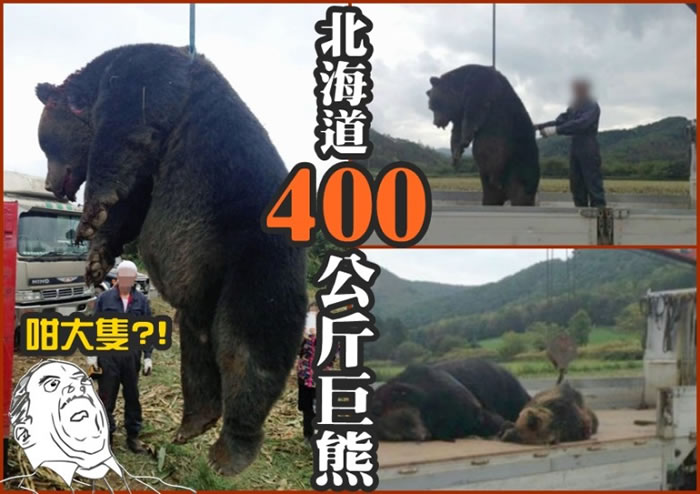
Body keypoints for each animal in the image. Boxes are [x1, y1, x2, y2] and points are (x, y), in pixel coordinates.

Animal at [34, 43, 308, 476]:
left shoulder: (148, 82)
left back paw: (229, 452)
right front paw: (96, 260)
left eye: (47, 144)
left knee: (247, 351)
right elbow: (129, 206)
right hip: (204, 294)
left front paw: (89, 215)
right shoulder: (150, 173)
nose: (51, 185)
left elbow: (124, 135)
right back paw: (194, 422)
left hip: (256, 262)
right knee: (198, 350)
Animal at [426, 64, 540, 206]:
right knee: (490, 198)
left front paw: (465, 139)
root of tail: (504, 192)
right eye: (431, 107)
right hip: (488, 183)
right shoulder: (459, 114)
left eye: (435, 104)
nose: (436, 122)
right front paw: (456, 155)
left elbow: (474, 110)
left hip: (520, 164)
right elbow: (456, 132)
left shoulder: (481, 85)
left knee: (521, 195)